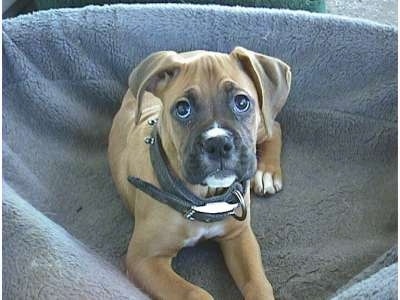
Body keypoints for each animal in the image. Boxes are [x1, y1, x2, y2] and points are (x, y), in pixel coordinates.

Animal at [108, 47, 292, 300]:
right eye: (183, 109)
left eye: (242, 102)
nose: (218, 143)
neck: (204, 198)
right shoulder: (144, 260)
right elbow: (195, 293)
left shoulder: (239, 235)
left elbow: (258, 284)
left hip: (261, 126)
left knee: (274, 125)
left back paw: (267, 172)